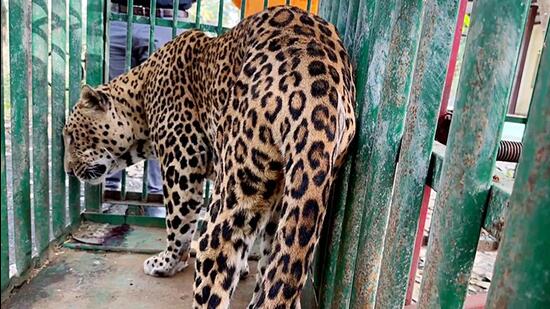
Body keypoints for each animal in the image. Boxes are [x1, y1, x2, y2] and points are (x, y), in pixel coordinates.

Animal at [63, 5, 358, 308]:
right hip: (294, 187)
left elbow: (178, 225)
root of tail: (318, 87)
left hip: (239, 182)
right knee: (276, 261)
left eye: (72, 136)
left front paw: (166, 263)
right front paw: (243, 267)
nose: (68, 170)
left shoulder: (181, 166)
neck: (140, 98)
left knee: (216, 256)